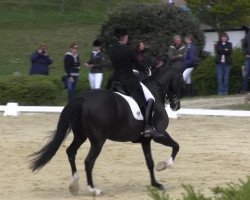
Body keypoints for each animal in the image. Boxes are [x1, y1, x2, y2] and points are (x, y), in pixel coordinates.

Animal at [29, 65, 186, 195]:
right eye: (181, 81)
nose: (176, 106)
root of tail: (83, 99)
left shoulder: (145, 140)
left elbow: (150, 162)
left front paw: (156, 184)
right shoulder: (159, 134)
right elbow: (176, 146)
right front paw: (164, 165)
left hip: (81, 136)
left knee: (71, 152)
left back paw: (74, 185)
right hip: (98, 140)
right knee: (88, 161)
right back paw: (94, 189)